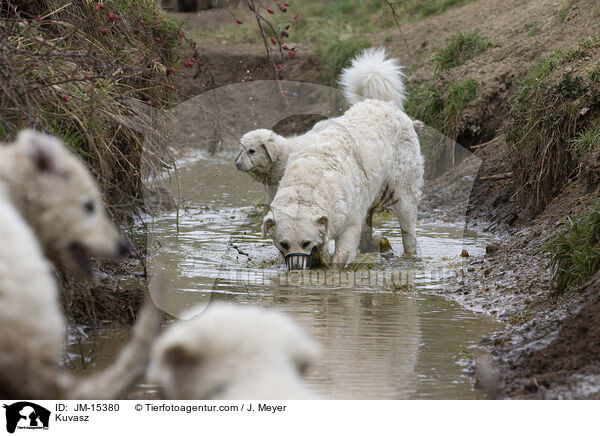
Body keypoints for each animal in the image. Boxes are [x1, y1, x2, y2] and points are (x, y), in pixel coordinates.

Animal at [262, 50, 422, 270]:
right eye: (283, 245)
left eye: (305, 243)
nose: (295, 271)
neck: (306, 184)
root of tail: (380, 102)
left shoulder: (349, 226)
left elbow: (340, 259)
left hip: (404, 192)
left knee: (408, 227)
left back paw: (410, 255)